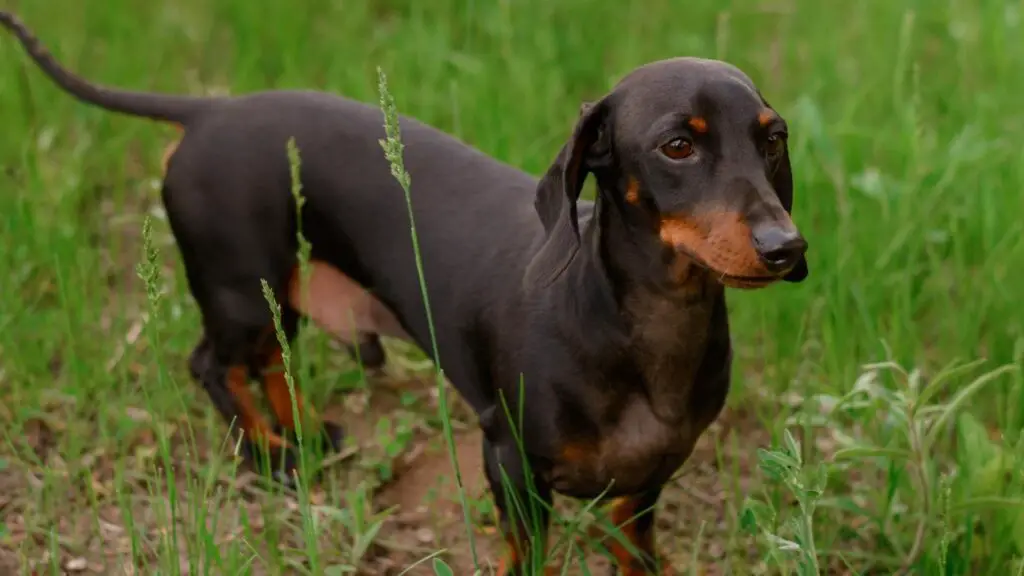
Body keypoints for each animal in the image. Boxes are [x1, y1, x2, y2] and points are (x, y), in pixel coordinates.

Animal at [6, 11, 806, 569]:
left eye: (773, 138)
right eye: (679, 145)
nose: (787, 248)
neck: (638, 322)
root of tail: (209, 111)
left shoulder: (647, 483)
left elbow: (635, 548)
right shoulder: (509, 461)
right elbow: (530, 555)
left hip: (281, 292)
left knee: (268, 364)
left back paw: (305, 437)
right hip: (238, 289)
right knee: (214, 364)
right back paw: (271, 457)